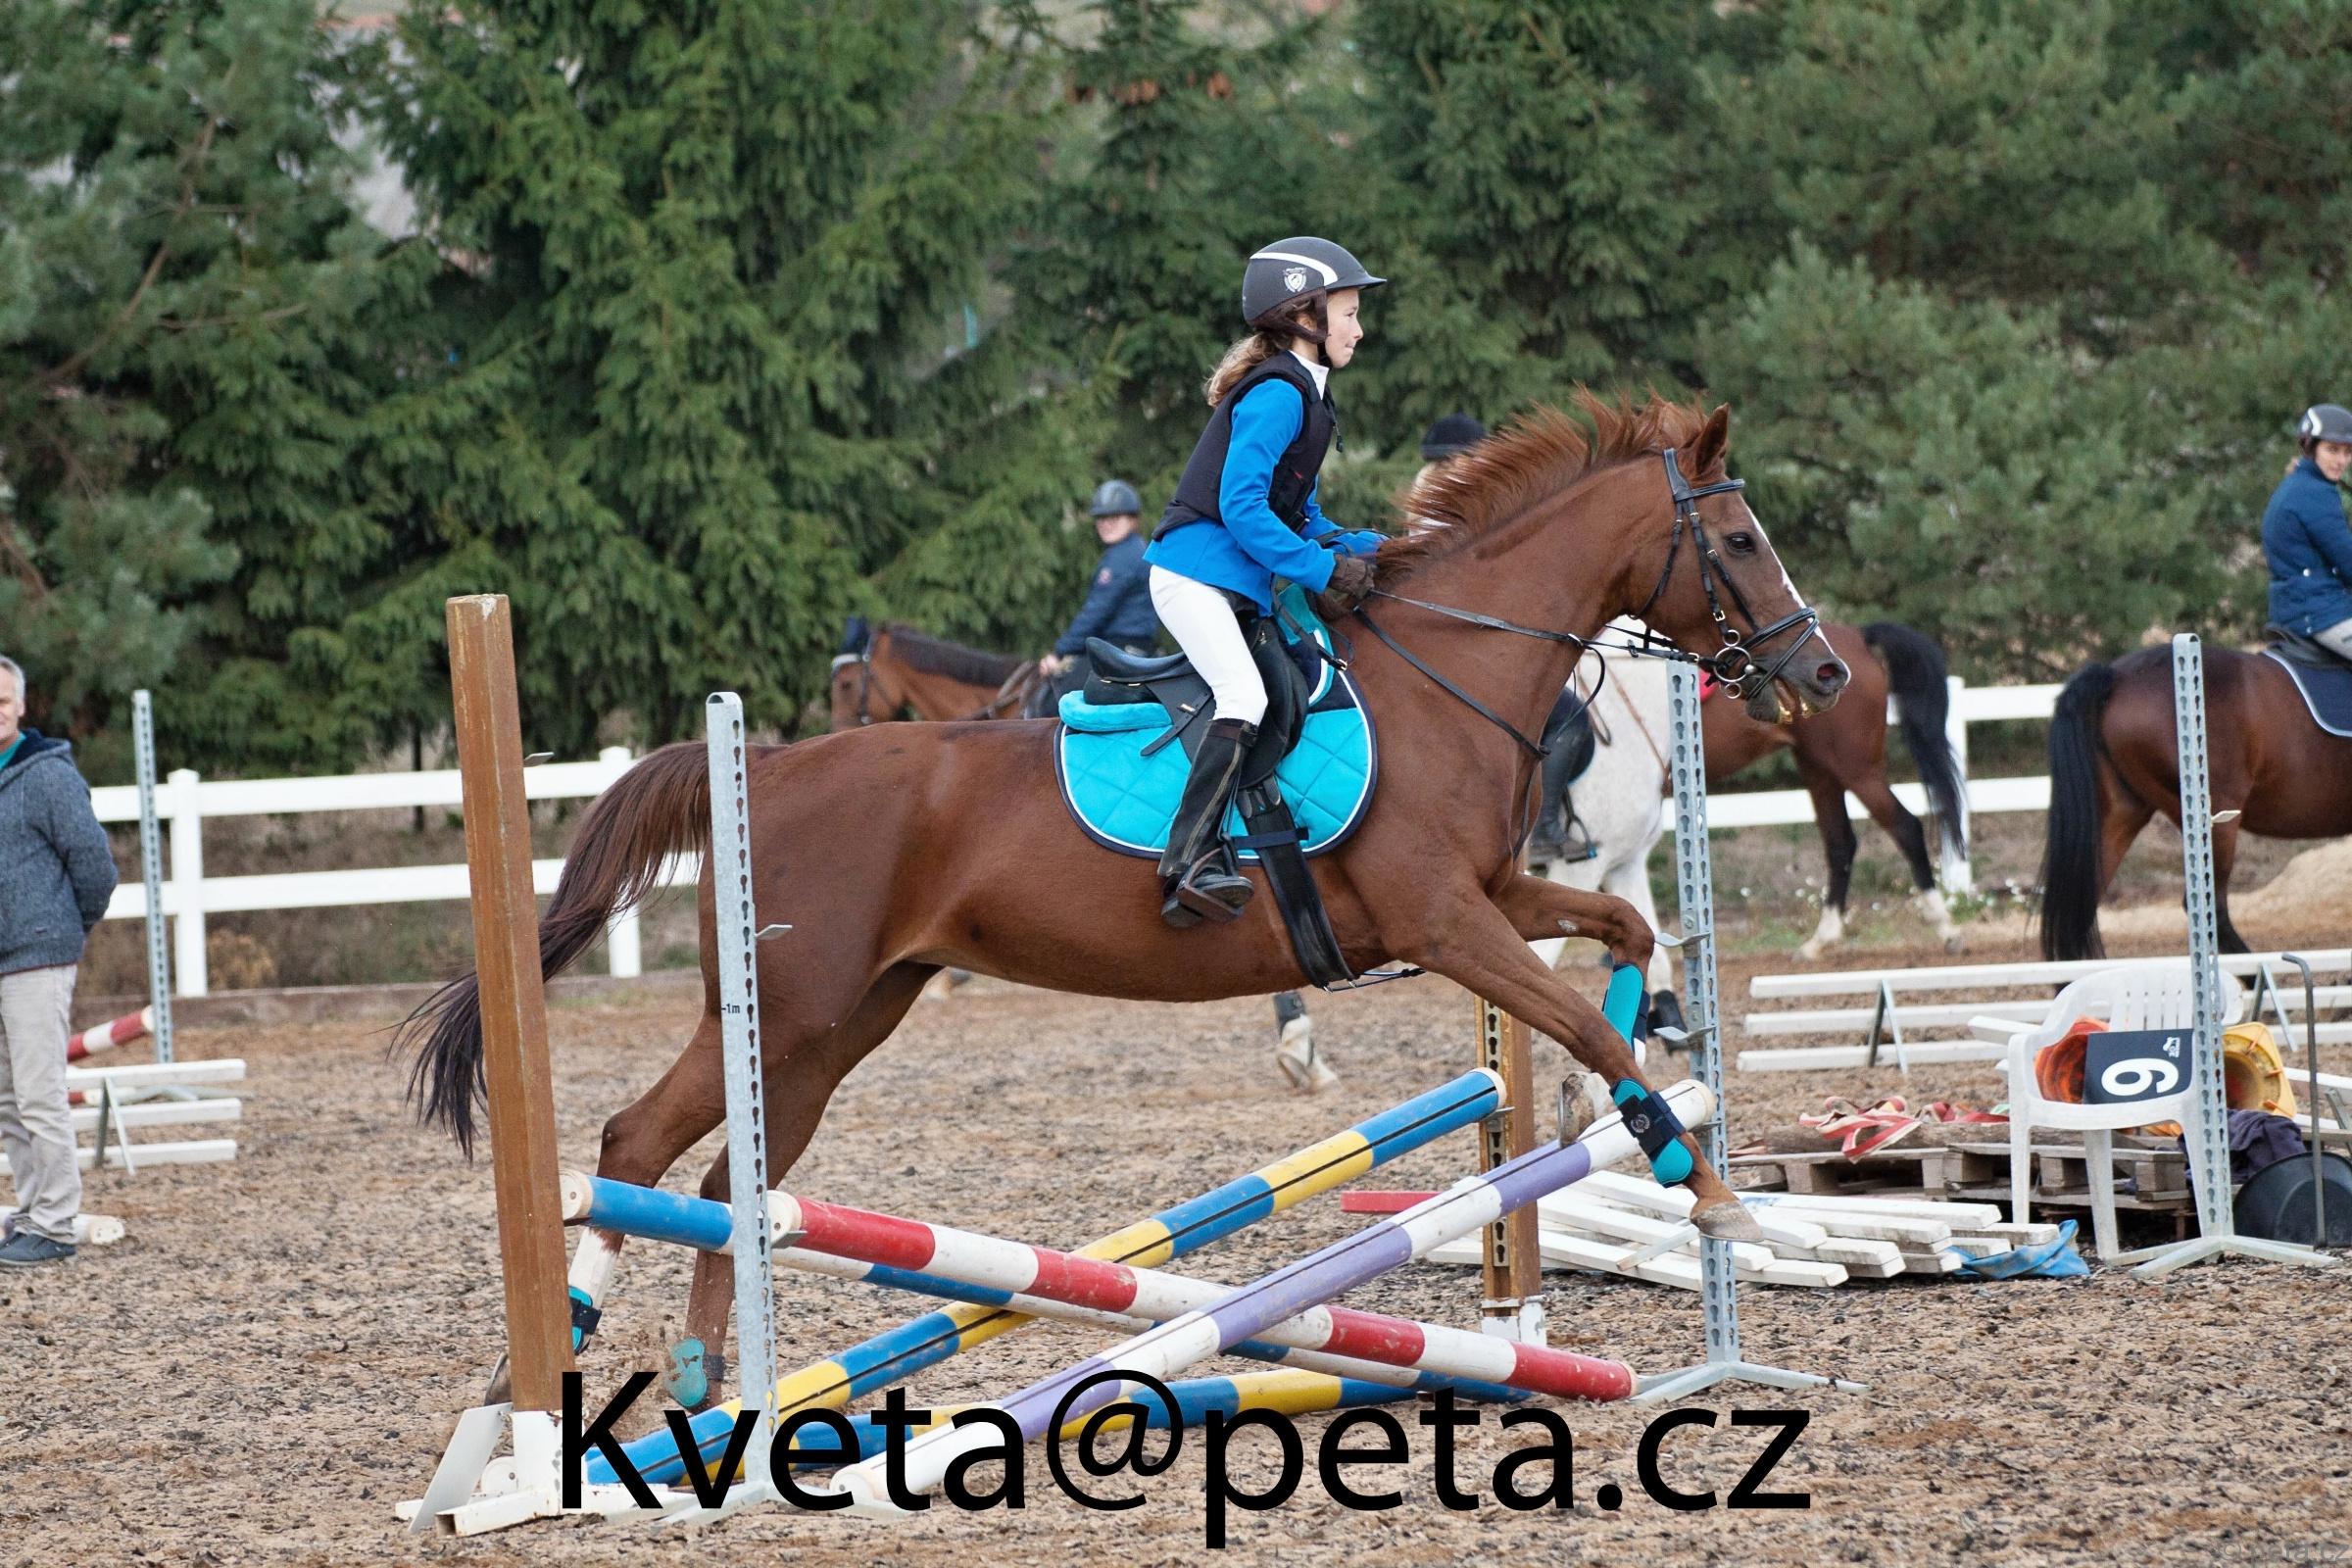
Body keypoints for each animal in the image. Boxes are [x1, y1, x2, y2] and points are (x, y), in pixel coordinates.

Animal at [1703, 621, 1968, 958]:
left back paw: (1945, 926)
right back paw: (1822, 938)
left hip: (1855, 768)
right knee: (1840, 842)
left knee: (1905, 827)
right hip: (1818, 766)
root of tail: (1857, 636)